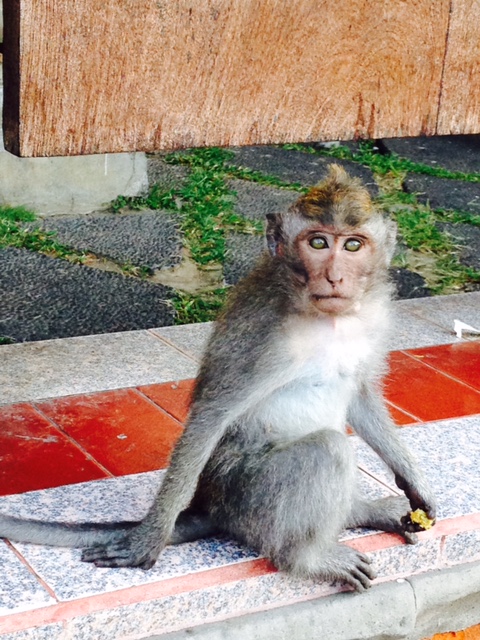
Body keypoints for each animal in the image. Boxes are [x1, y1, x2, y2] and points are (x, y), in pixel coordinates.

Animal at [0, 165, 436, 592]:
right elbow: (212, 415)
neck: (330, 319)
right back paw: (307, 557)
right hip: (246, 498)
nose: (334, 277)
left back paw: (365, 512)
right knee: (326, 449)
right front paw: (149, 537)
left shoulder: (374, 319)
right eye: (317, 243)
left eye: (353, 246)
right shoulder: (263, 337)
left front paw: (414, 483)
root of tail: (210, 506)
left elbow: (362, 396)